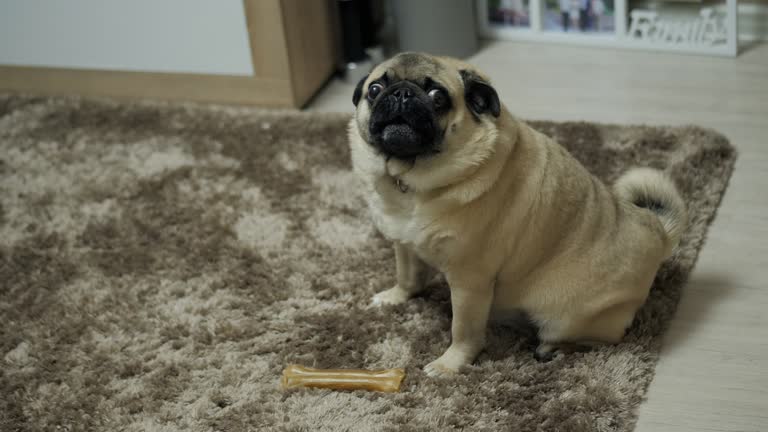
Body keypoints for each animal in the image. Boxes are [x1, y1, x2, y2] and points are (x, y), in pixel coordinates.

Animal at [348, 52, 684, 376]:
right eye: (374, 90)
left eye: (437, 96)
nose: (401, 93)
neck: (412, 183)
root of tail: (656, 230)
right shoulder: (403, 245)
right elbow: (408, 277)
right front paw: (394, 297)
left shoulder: (470, 281)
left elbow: (464, 331)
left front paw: (450, 365)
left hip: (564, 318)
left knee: (605, 340)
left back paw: (553, 349)